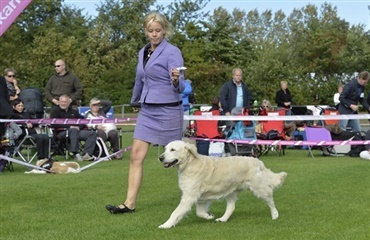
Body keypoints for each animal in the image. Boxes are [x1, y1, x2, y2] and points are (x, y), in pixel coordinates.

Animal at [158, 141, 288, 229]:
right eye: (165, 149)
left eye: (173, 149)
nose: (160, 157)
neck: (190, 164)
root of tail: (258, 161)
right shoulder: (201, 198)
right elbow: (199, 212)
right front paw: (209, 216)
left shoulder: (189, 196)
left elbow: (175, 213)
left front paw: (165, 225)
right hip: (230, 191)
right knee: (231, 207)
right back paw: (222, 219)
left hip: (259, 188)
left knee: (271, 200)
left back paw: (275, 215)